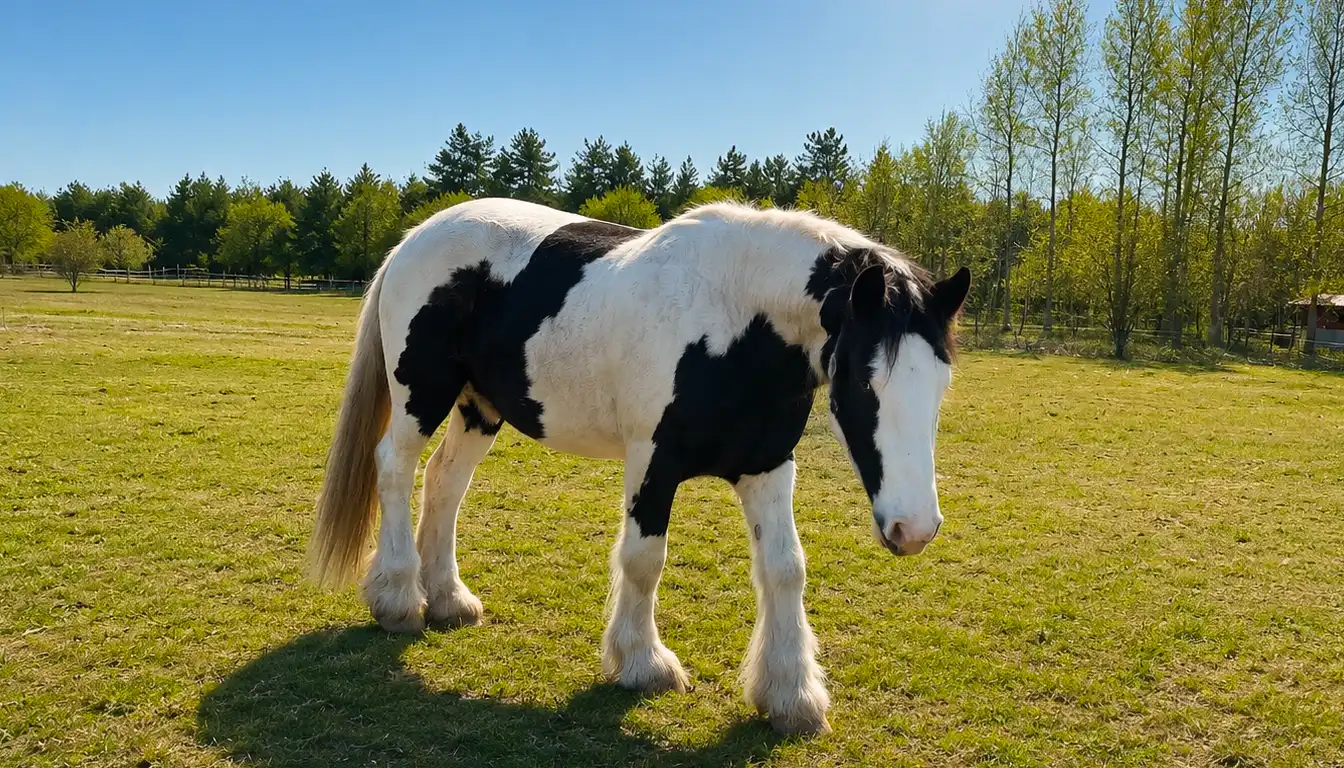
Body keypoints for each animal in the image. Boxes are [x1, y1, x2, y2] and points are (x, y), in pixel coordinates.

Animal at [307, 197, 970, 735]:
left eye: (941, 383)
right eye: (864, 382)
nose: (916, 529)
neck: (734, 319)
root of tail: (415, 238)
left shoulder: (767, 466)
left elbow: (785, 568)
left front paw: (791, 697)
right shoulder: (652, 462)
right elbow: (644, 559)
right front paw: (643, 664)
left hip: (479, 408)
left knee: (445, 483)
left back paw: (448, 599)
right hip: (421, 395)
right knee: (395, 468)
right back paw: (398, 599)